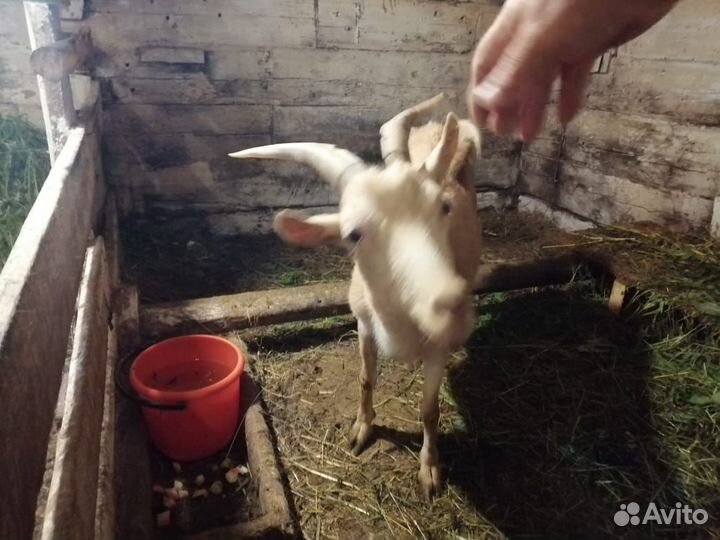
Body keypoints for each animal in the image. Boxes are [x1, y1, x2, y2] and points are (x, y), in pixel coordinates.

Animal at [229, 94, 482, 499]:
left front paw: (429, 470)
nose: (452, 307)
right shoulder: (363, 322)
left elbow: (429, 410)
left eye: (443, 207)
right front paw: (361, 430)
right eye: (353, 234)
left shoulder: (438, 348)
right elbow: (366, 378)